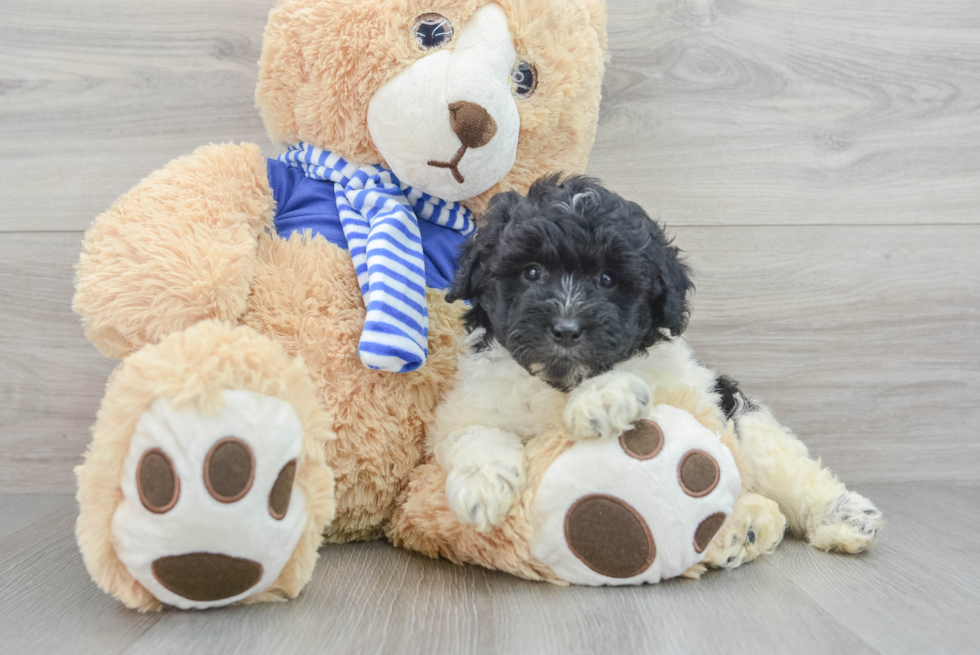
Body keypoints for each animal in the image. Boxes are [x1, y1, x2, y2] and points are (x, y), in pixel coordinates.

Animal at [432, 177, 884, 568]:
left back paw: (839, 520)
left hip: (750, 430)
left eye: (608, 279)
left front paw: (601, 400)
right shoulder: (468, 405)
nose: (566, 329)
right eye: (531, 272)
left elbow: (638, 375)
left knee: (796, 477)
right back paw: (745, 531)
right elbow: (474, 432)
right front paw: (483, 487)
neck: (560, 384)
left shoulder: (681, 384)